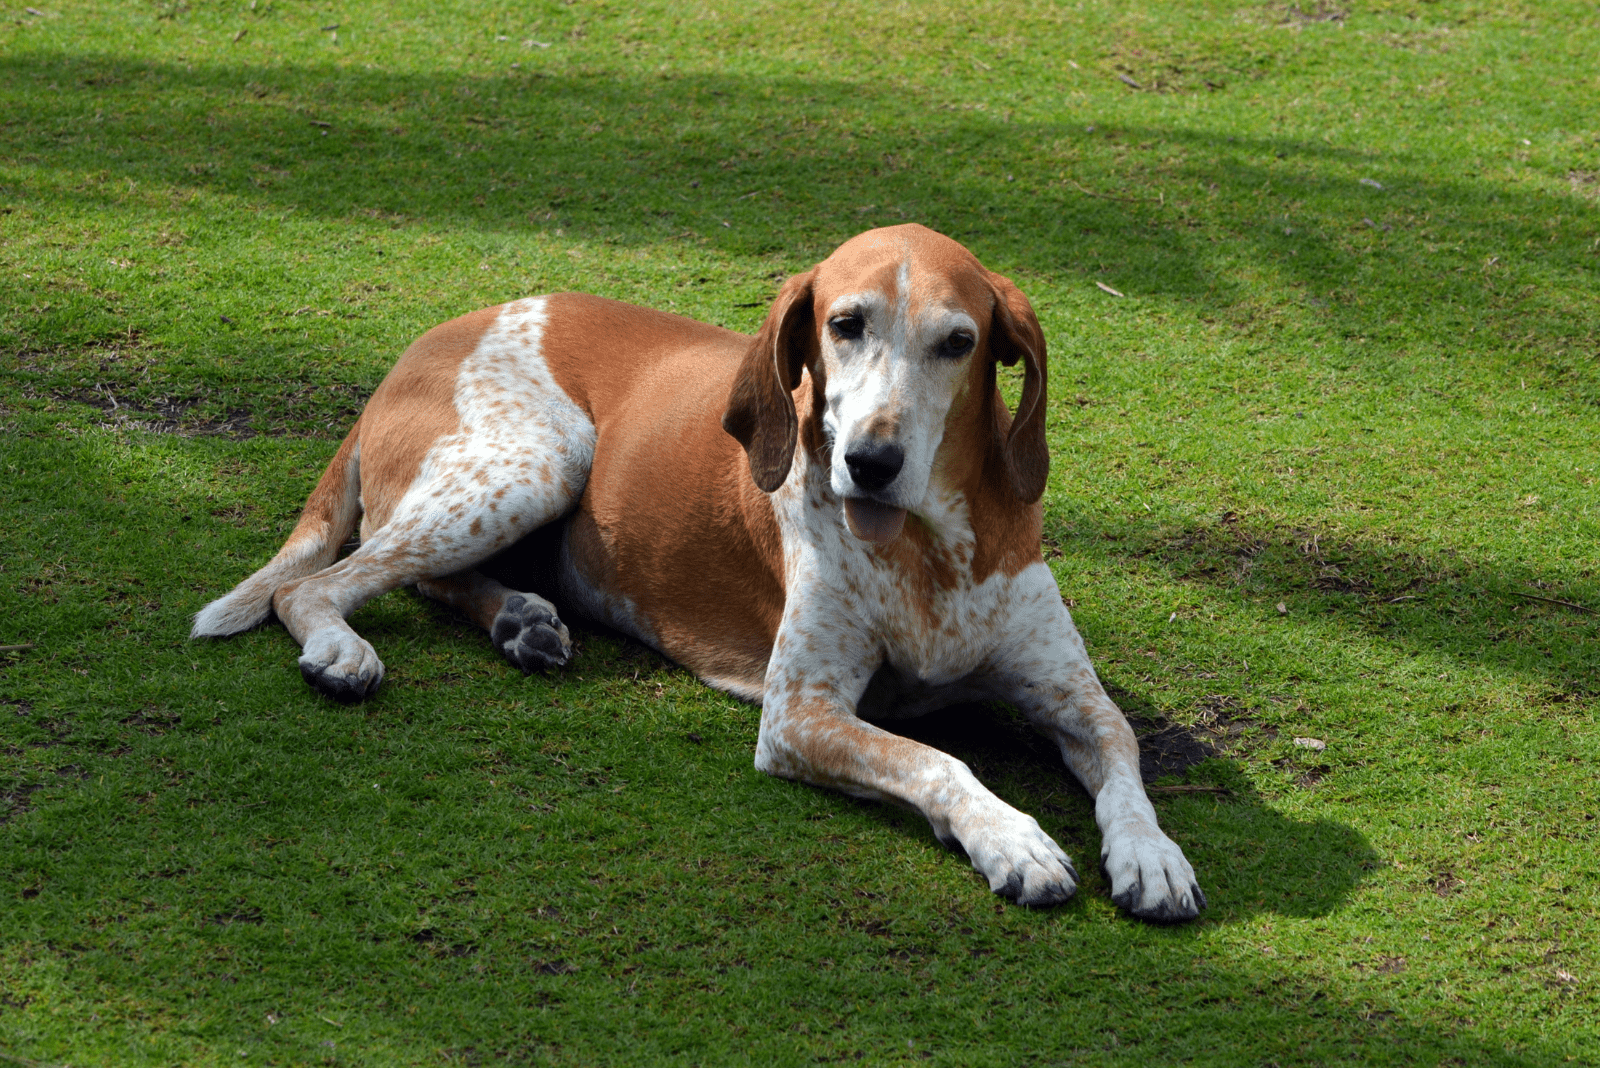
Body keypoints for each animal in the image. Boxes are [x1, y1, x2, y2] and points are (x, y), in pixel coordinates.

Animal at [193, 223, 1203, 920]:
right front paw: (1013, 840)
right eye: (844, 325)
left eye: (958, 342)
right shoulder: (799, 715)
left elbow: (1124, 752)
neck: (931, 548)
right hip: (538, 460)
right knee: (317, 584)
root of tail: (422, 344)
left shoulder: (1070, 693)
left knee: (424, 579)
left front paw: (1151, 854)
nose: (871, 462)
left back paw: (522, 618)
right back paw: (345, 651)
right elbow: (938, 760)